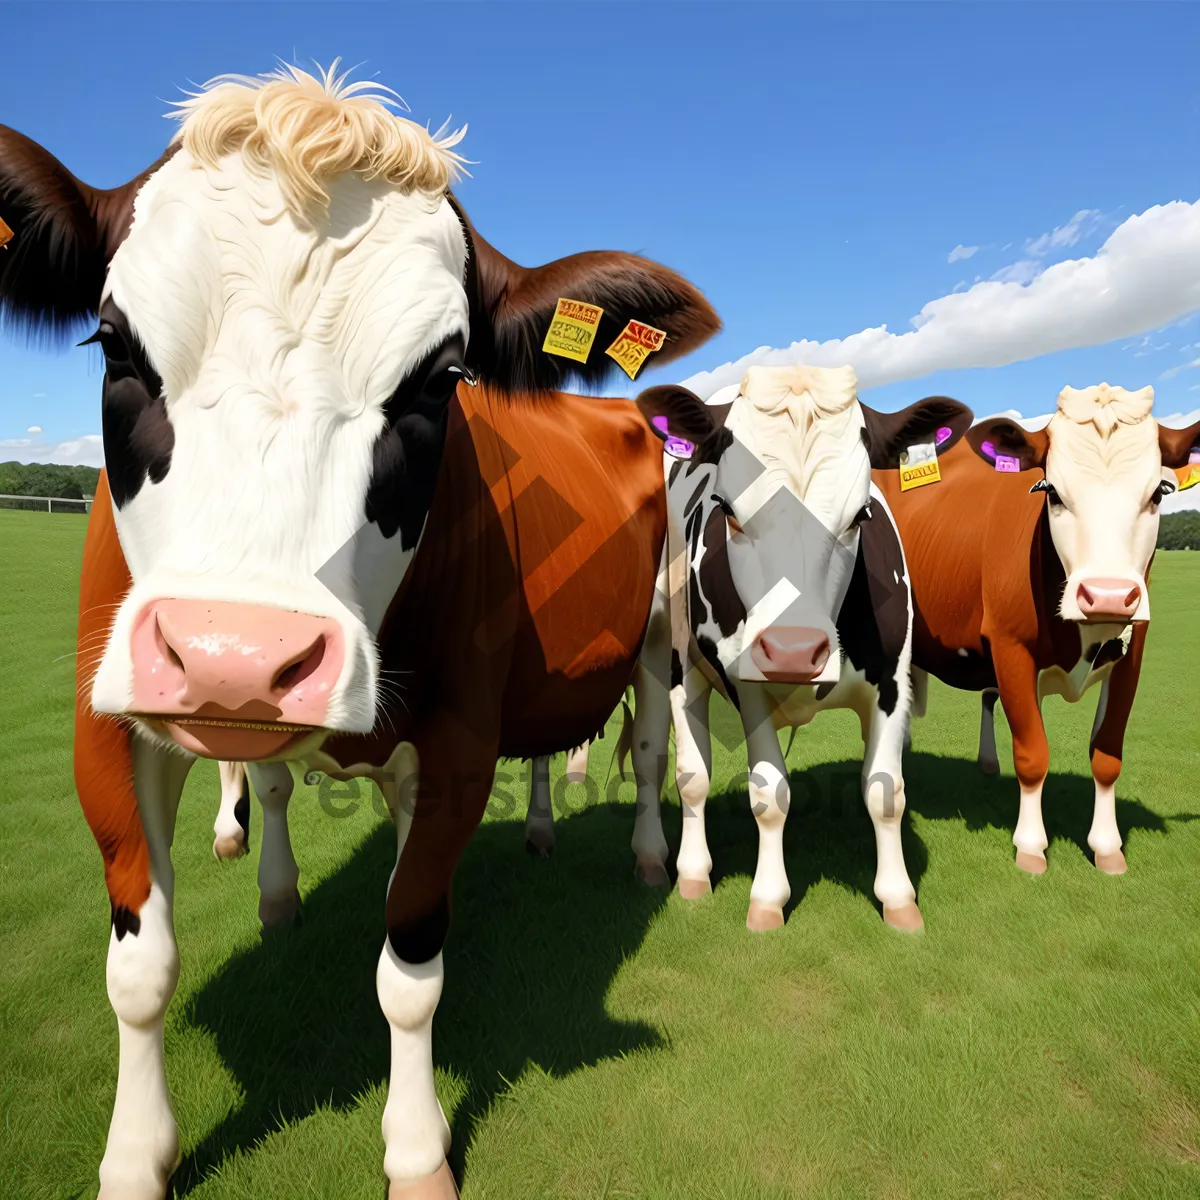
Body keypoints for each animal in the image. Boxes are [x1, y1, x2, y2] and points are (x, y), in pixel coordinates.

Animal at [0, 68, 715, 1200]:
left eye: (441, 380)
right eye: (112, 342)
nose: (234, 657)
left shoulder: (460, 744)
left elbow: (410, 960)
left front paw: (417, 1151)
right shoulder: (103, 732)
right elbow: (140, 965)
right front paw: (136, 1156)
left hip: (654, 635)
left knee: (649, 749)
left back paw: (656, 858)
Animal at [619, 367, 974, 936]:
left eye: (860, 515)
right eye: (728, 512)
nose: (792, 650)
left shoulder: (892, 683)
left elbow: (885, 790)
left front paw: (899, 899)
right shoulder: (747, 685)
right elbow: (768, 794)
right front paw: (767, 900)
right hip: (664, 656)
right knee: (669, 764)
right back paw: (675, 866)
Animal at [873, 388, 1200, 878]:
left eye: (1160, 493)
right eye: (1053, 492)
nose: (1106, 595)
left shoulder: (1133, 656)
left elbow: (1107, 755)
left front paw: (1107, 848)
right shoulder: (1010, 648)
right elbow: (1032, 754)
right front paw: (1031, 847)